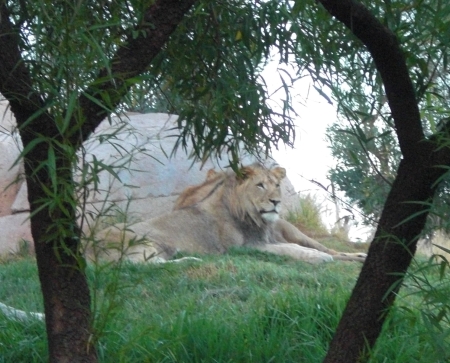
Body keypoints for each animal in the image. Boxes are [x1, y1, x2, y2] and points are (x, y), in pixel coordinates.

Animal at [95, 164, 366, 264]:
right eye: (260, 185)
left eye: (276, 185)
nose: (276, 201)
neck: (254, 219)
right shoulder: (243, 248)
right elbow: (288, 251)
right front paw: (316, 259)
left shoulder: (263, 241)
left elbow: (296, 248)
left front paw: (320, 256)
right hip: (139, 241)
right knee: (147, 265)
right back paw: (190, 259)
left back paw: (359, 256)